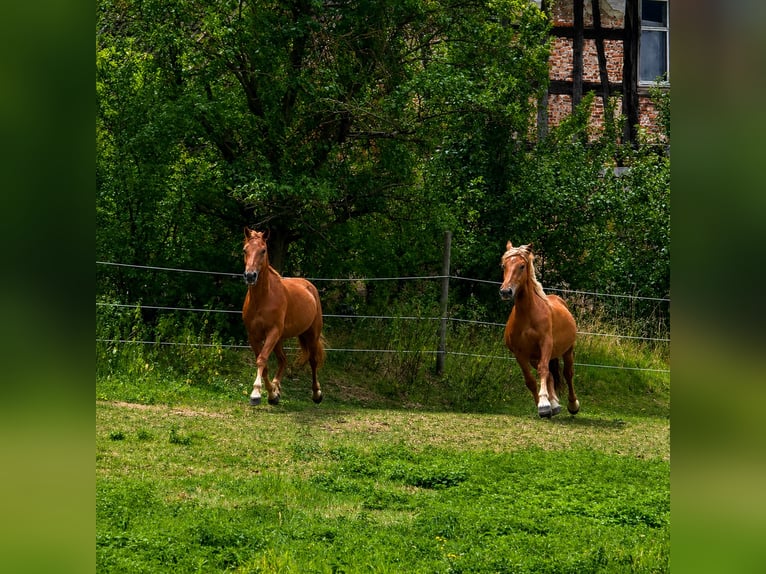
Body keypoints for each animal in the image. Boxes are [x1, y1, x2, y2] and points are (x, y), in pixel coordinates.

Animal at [242, 227, 325, 406]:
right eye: (245, 250)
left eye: (263, 250)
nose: (250, 275)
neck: (262, 299)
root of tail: (310, 287)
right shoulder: (253, 336)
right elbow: (264, 364)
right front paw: (271, 394)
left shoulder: (272, 332)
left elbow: (262, 359)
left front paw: (256, 393)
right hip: (280, 339)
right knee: (283, 360)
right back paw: (276, 388)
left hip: (311, 334)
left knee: (313, 361)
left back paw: (317, 394)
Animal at [499, 241, 580, 418]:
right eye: (504, 265)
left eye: (522, 266)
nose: (506, 291)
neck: (528, 315)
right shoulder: (520, 353)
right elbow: (530, 379)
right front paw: (543, 406)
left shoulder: (546, 344)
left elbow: (544, 370)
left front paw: (543, 403)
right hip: (535, 357)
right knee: (550, 375)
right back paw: (554, 404)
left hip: (567, 350)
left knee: (567, 374)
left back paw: (573, 405)